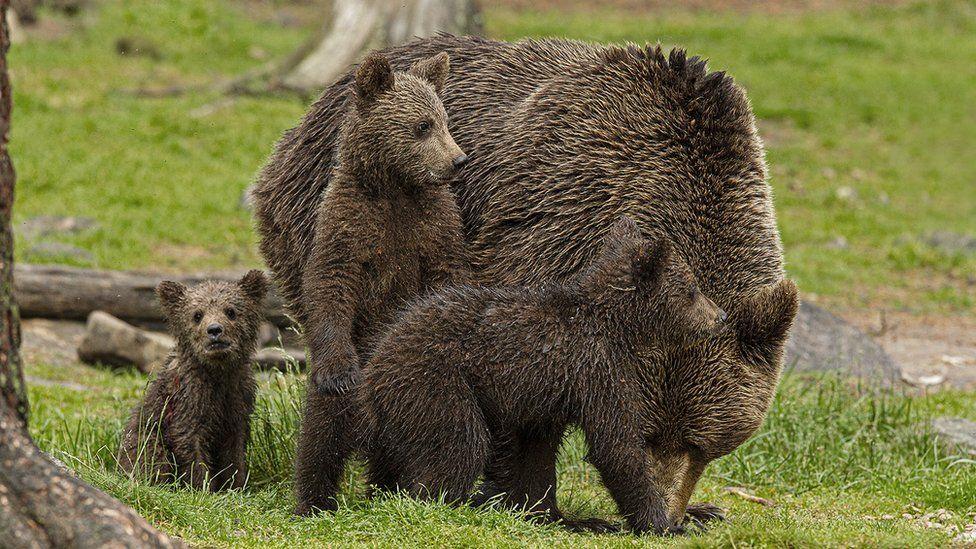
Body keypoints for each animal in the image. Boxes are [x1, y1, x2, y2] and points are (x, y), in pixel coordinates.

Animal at [250, 34, 792, 532]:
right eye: (656, 433)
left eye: (704, 446)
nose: (673, 510)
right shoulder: (543, 234)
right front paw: (537, 504)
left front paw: (699, 509)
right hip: (327, 227)